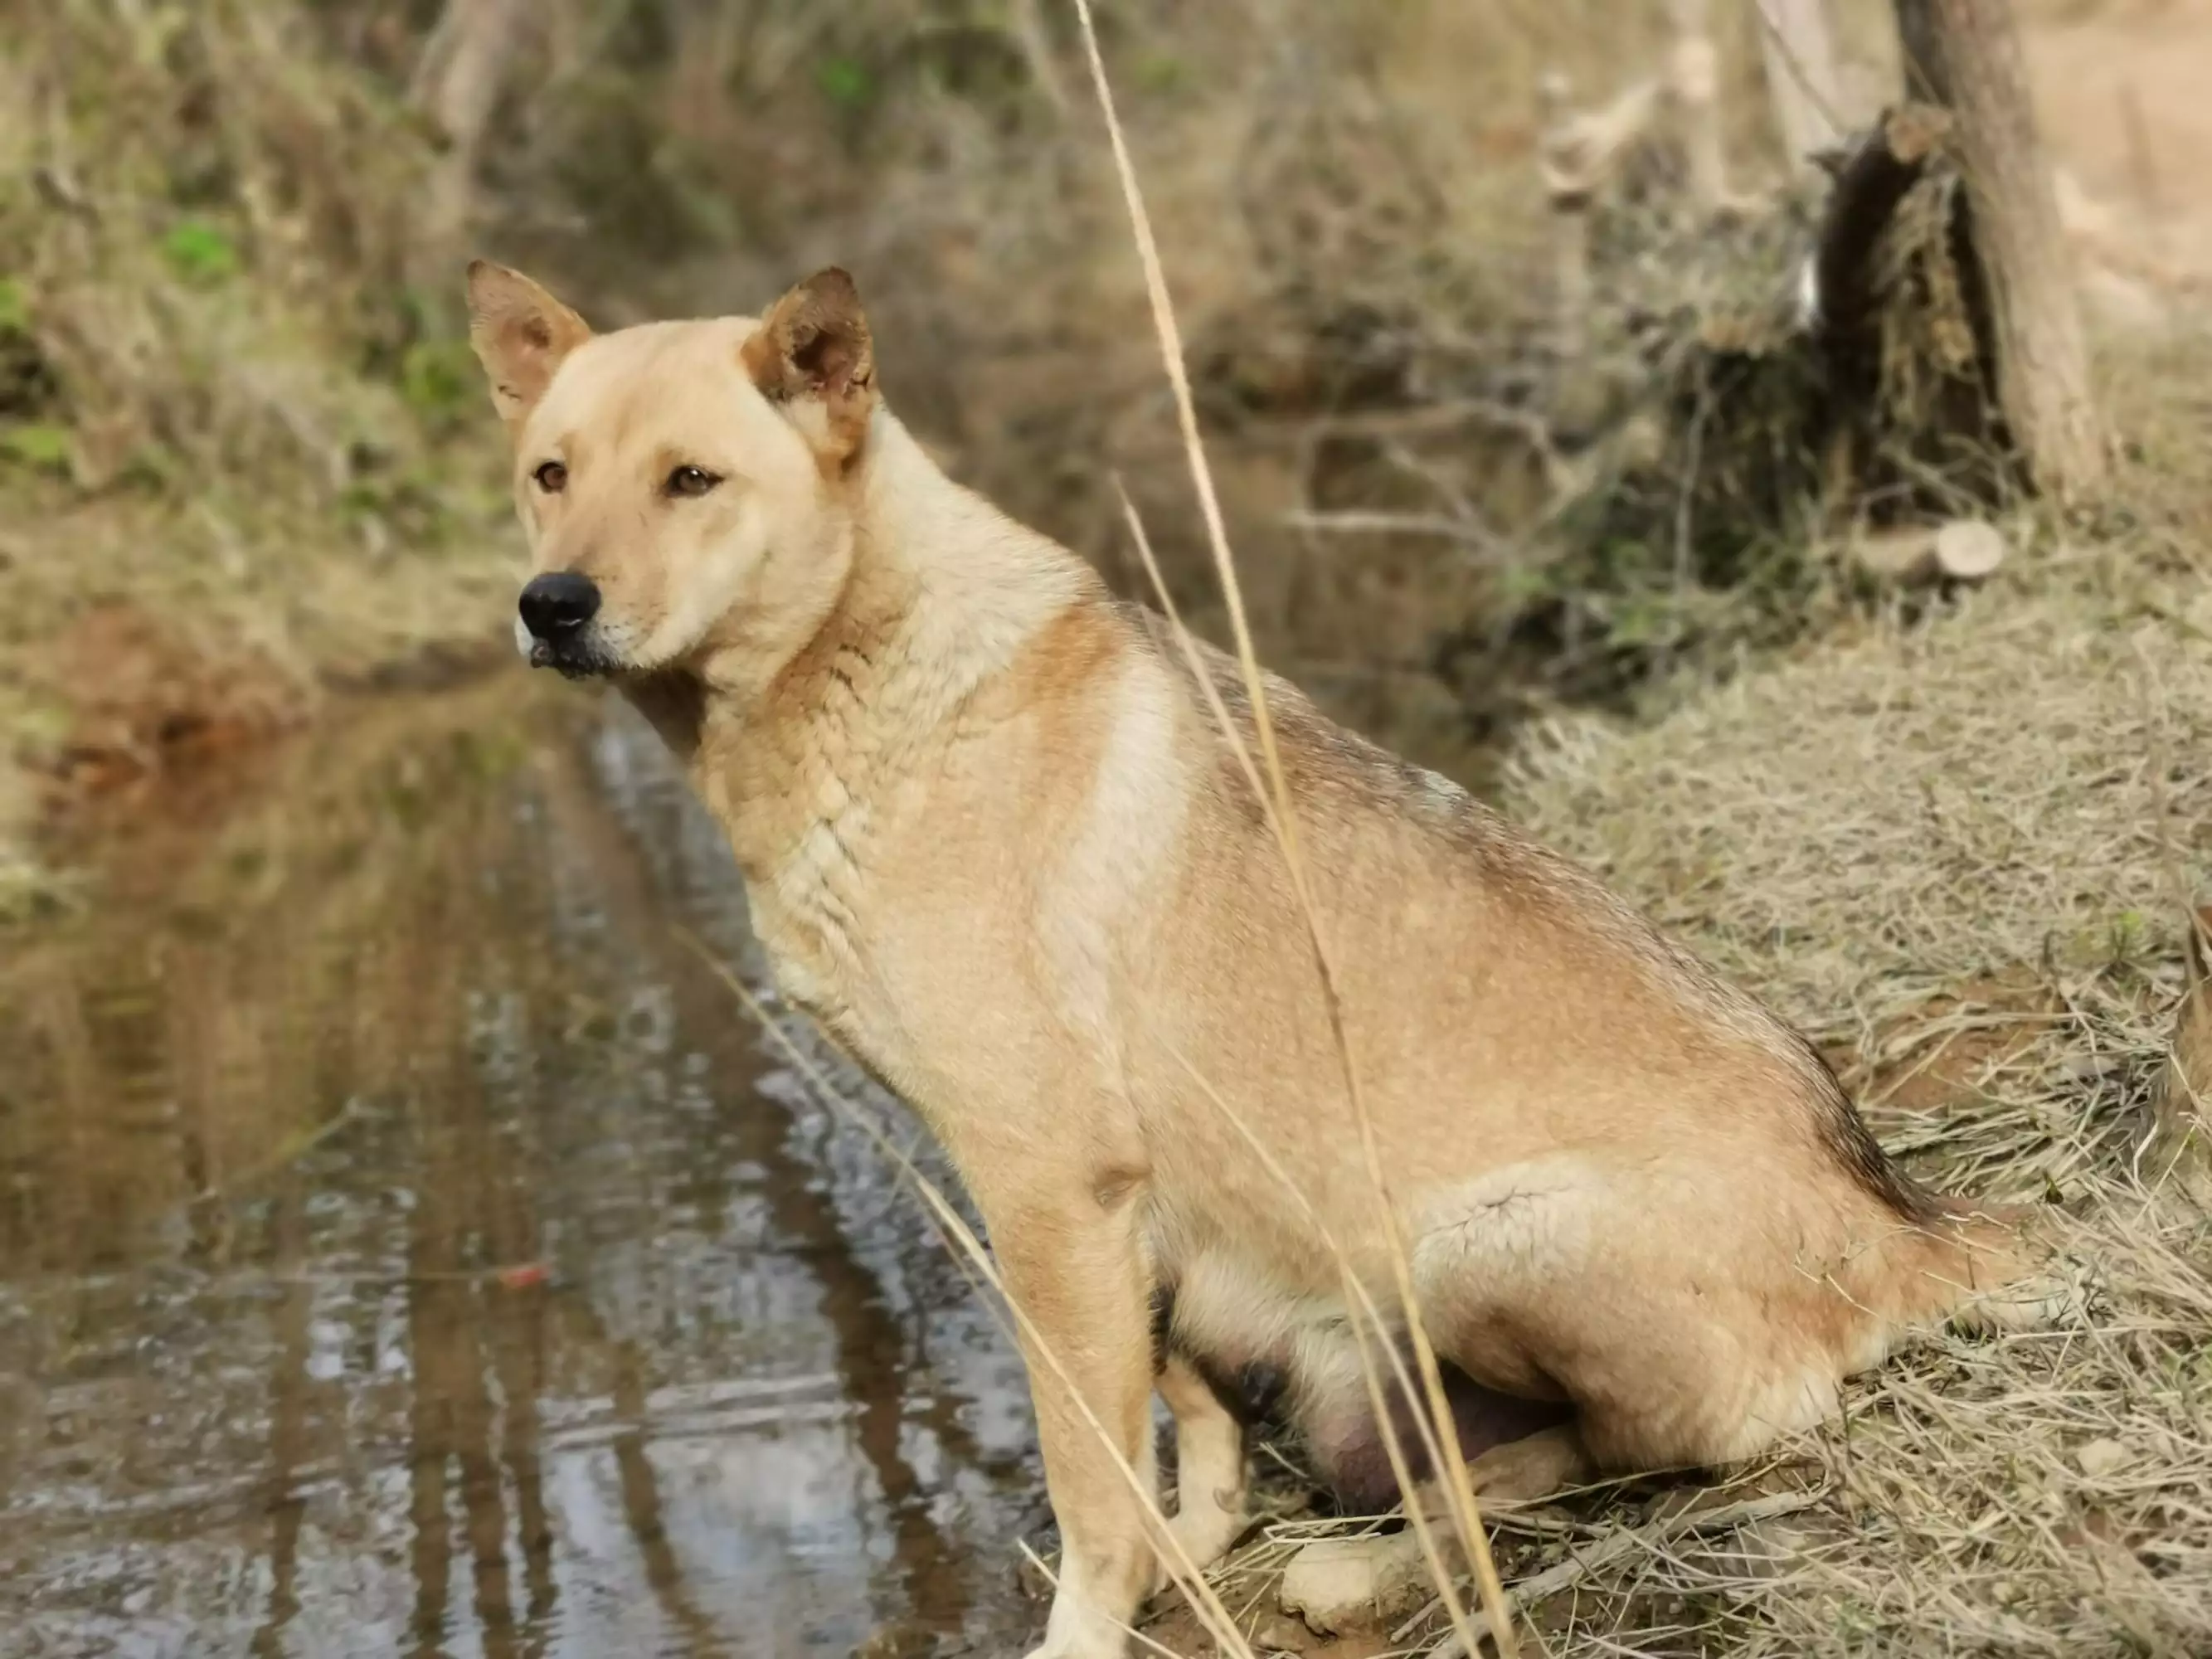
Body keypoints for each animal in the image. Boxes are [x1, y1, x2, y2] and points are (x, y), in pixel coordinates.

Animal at [471, 266, 2052, 1654]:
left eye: (690, 481)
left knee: (1643, 1451)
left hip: (1471, 1251)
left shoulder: (1047, 1194)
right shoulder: (1128, 1212)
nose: (550, 605)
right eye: (549, 474)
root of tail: (1904, 1219)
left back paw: (1372, 1565)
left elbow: (1088, 1481)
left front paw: (1088, 1630)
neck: (862, 666)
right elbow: (1183, 1428)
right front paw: (1195, 1547)